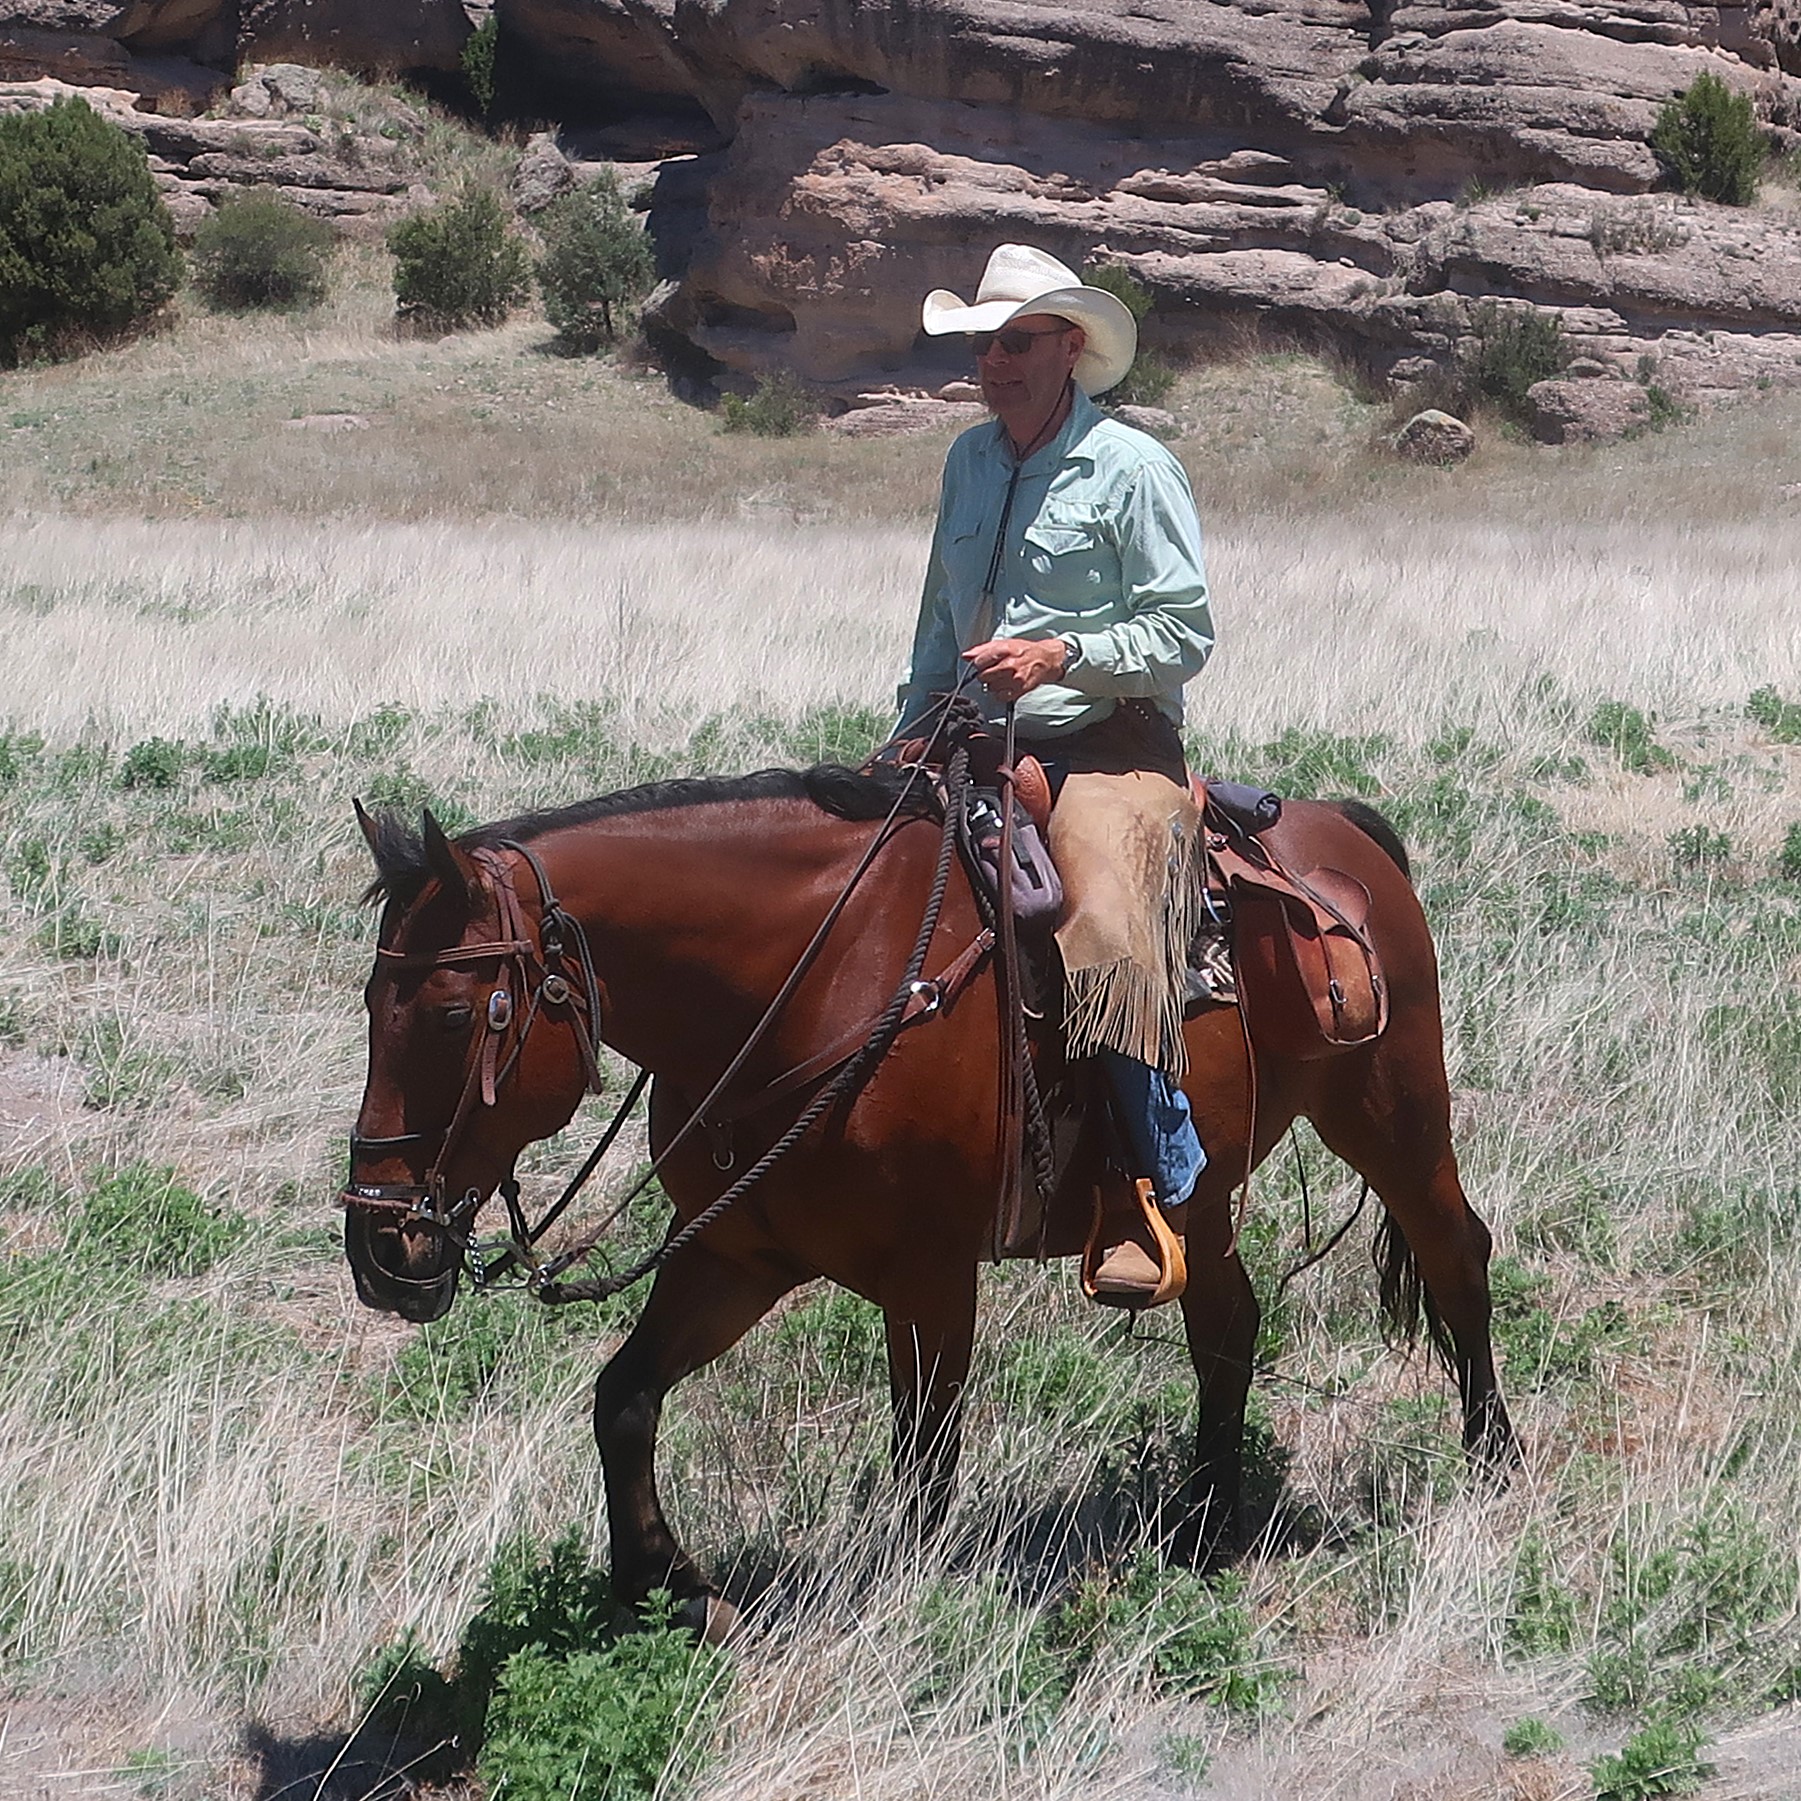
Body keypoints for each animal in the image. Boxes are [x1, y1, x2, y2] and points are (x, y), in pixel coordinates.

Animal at [343, 767, 1512, 1642]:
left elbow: (923, 1461)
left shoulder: (930, 1277)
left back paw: (1490, 1463)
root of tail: (1344, 830)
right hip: (1207, 1191)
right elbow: (623, 1398)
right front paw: (668, 1587)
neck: (818, 985)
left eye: (453, 1014)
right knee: (1226, 1325)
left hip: (1394, 1112)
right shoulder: (735, 1254)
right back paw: (1206, 1527)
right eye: (369, 1002)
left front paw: (904, 1607)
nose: (380, 1246)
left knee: (1454, 1253)